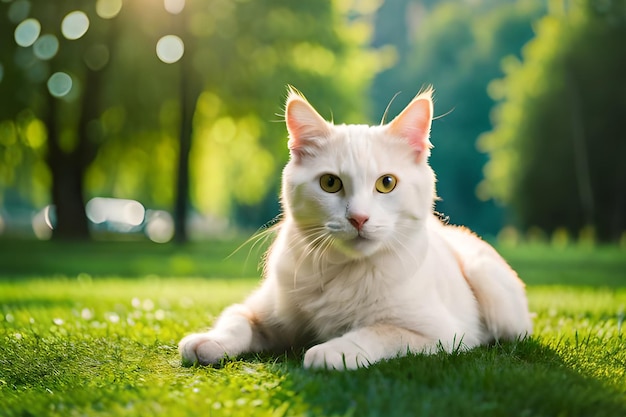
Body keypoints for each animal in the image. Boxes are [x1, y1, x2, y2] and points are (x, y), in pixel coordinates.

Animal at [177, 86, 532, 368]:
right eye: (330, 183)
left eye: (386, 183)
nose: (359, 218)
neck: (344, 271)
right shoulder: (262, 311)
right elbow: (237, 320)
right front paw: (210, 341)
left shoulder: (441, 334)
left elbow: (379, 332)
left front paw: (333, 350)